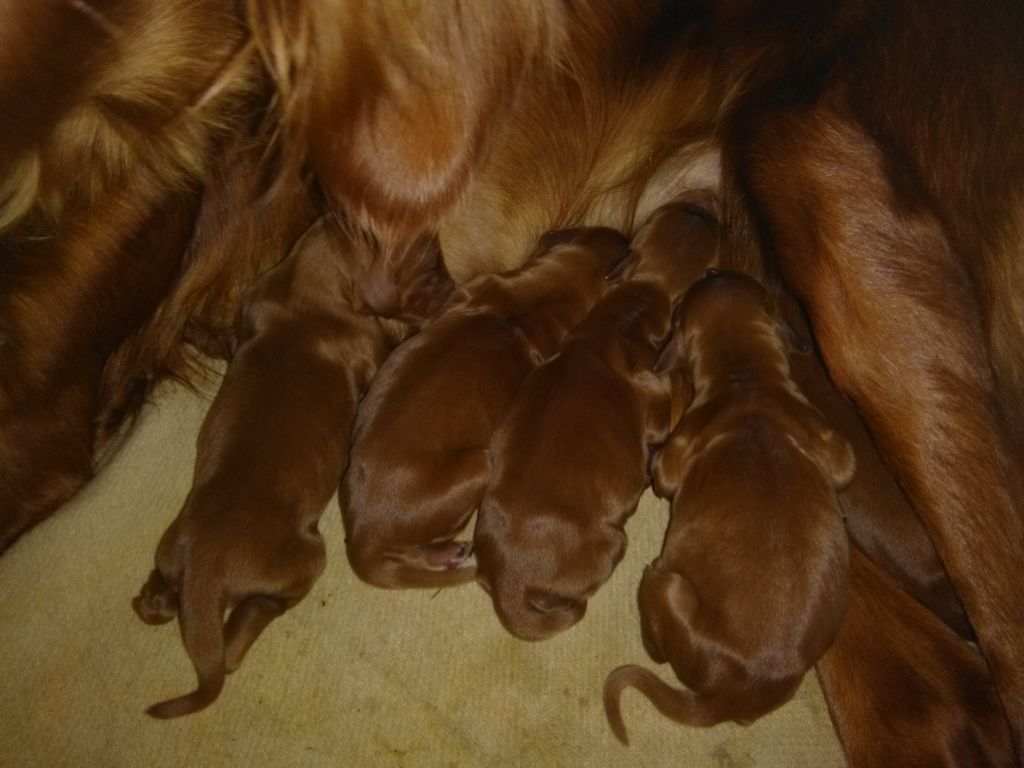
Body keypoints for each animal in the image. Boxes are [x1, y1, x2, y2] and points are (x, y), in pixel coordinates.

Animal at [134, 218, 389, 720]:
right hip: (307, 557)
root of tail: (206, 575)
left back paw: (150, 600)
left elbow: (227, 339)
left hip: (170, 551)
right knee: (242, 636)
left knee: (165, 597)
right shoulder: (368, 345)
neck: (303, 295)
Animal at [342, 228, 630, 589]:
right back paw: (446, 554)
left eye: (594, 230)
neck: (528, 300)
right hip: (480, 463)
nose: (627, 237)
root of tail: (363, 537)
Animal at [602, 268, 851, 741]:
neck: (746, 378)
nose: (715, 269)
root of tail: (730, 696)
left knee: (655, 638)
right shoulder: (835, 447)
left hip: (669, 586)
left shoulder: (672, 459)